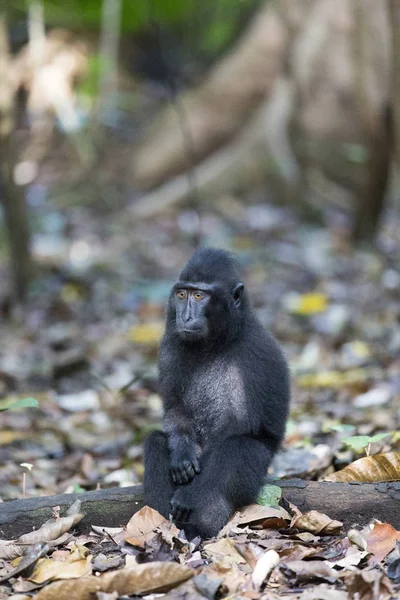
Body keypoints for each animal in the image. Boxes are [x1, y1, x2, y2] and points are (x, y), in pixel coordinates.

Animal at [144, 248, 290, 540]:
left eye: (199, 296)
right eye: (182, 294)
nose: (185, 317)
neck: (214, 344)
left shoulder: (253, 356)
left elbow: (238, 427)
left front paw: (190, 494)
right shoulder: (170, 346)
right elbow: (174, 407)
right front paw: (182, 455)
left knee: (238, 447)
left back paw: (201, 521)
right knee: (155, 441)